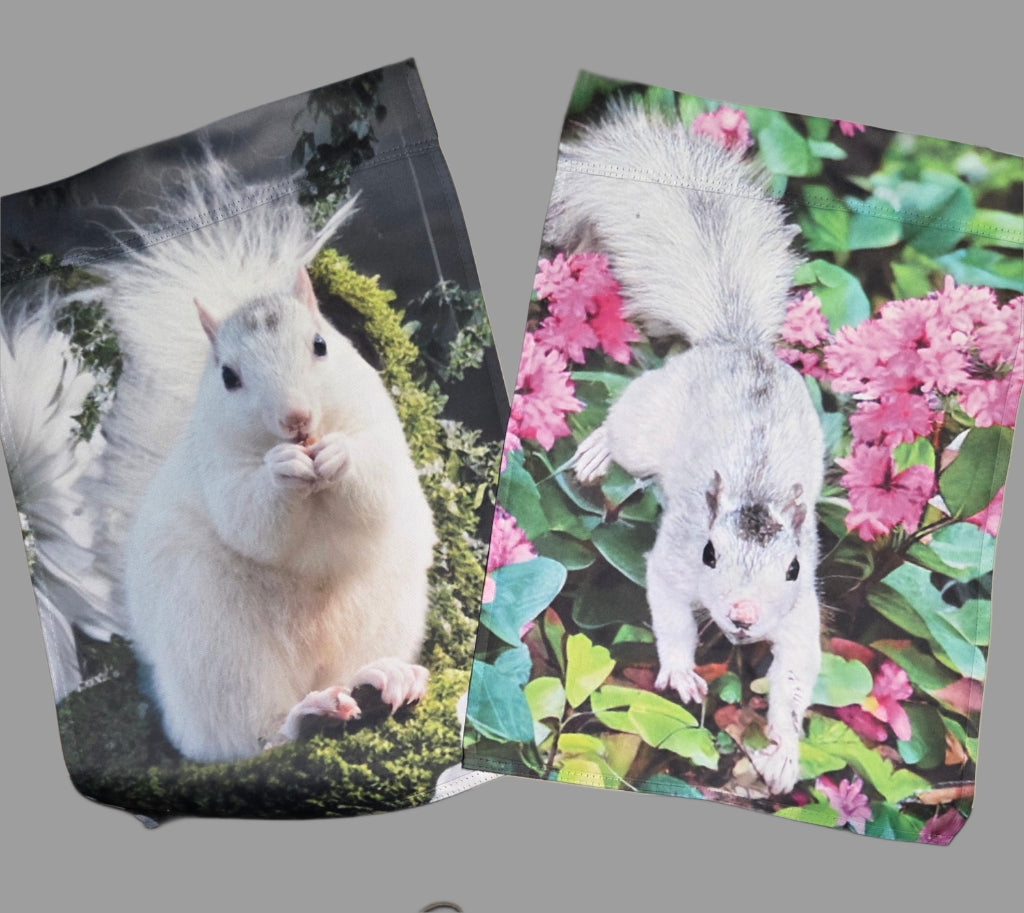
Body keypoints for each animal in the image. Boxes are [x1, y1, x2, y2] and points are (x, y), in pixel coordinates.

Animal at [79, 157, 435, 762]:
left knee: (353, 670)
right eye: (228, 377)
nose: (296, 420)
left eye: (321, 345)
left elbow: (377, 489)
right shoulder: (216, 470)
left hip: (381, 609)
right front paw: (281, 470)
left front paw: (339, 455)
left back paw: (387, 676)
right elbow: (251, 519)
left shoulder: (383, 430)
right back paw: (305, 717)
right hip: (221, 654)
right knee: (253, 736)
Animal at [549, 101, 824, 794]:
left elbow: (796, 672)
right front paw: (677, 669)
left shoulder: (800, 610)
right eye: (709, 553)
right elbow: (669, 608)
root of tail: (734, 344)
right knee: (625, 426)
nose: (745, 614)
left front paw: (784, 749)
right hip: (648, 426)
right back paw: (596, 453)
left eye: (792, 568)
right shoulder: (673, 558)